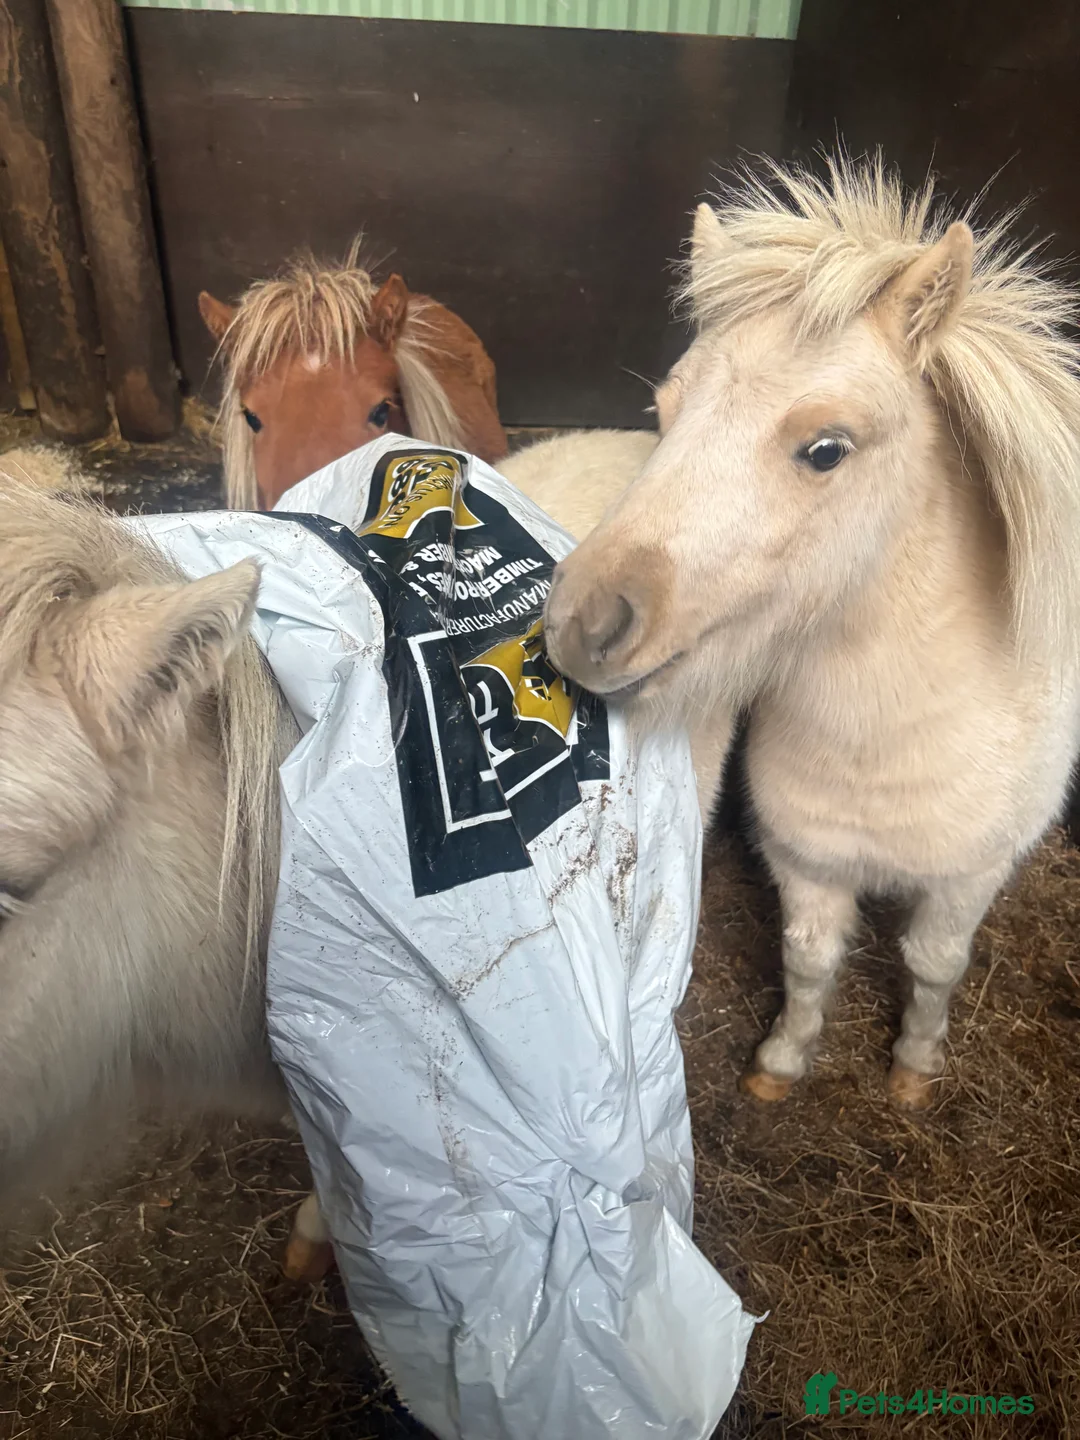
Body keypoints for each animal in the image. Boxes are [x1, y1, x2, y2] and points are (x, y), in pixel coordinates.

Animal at [544, 154, 1080, 1109]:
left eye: (827, 450)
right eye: (665, 412)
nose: (582, 622)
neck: (884, 739)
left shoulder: (966, 880)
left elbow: (934, 967)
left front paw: (913, 1070)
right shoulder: (809, 864)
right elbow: (809, 963)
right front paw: (781, 1065)